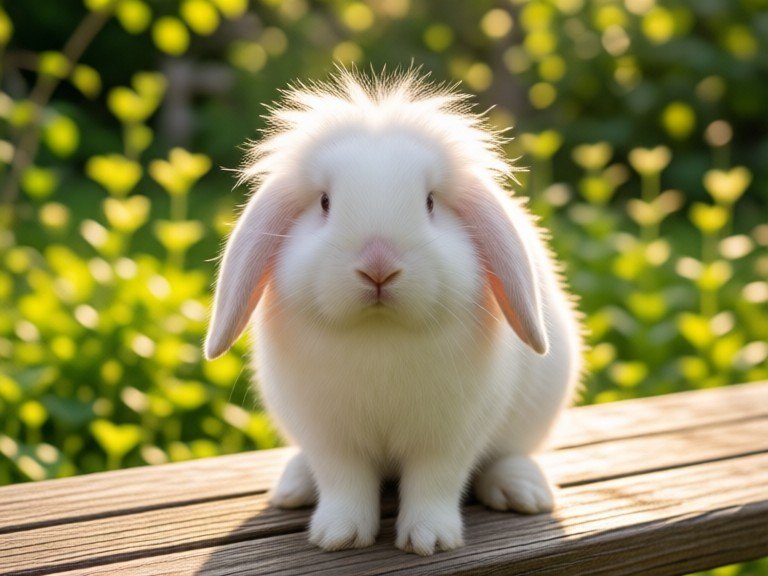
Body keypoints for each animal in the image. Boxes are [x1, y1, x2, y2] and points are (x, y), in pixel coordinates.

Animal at [204, 69, 583, 556]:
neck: (379, 335)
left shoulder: (449, 436)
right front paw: (340, 536)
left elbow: (434, 483)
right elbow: (344, 482)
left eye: (430, 202)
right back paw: (294, 487)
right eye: (325, 202)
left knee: (509, 455)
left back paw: (524, 492)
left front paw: (429, 540)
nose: (378, 266)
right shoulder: (330, 437)